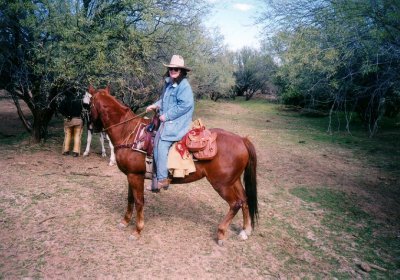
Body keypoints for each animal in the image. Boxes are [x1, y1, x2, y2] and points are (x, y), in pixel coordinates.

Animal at [86, 84, 260, 244]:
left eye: (88, 104)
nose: (91, 127)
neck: (129, 133)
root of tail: (241, 140)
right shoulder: (131, 176)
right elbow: (130, 199)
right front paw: (125, 221)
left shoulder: (135, 176)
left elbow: (139, 201)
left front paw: (137, 230)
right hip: (233, 181)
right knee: (244, 200)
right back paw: (245, 231)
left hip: (221, 184)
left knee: (235, 203)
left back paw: (221, 232)